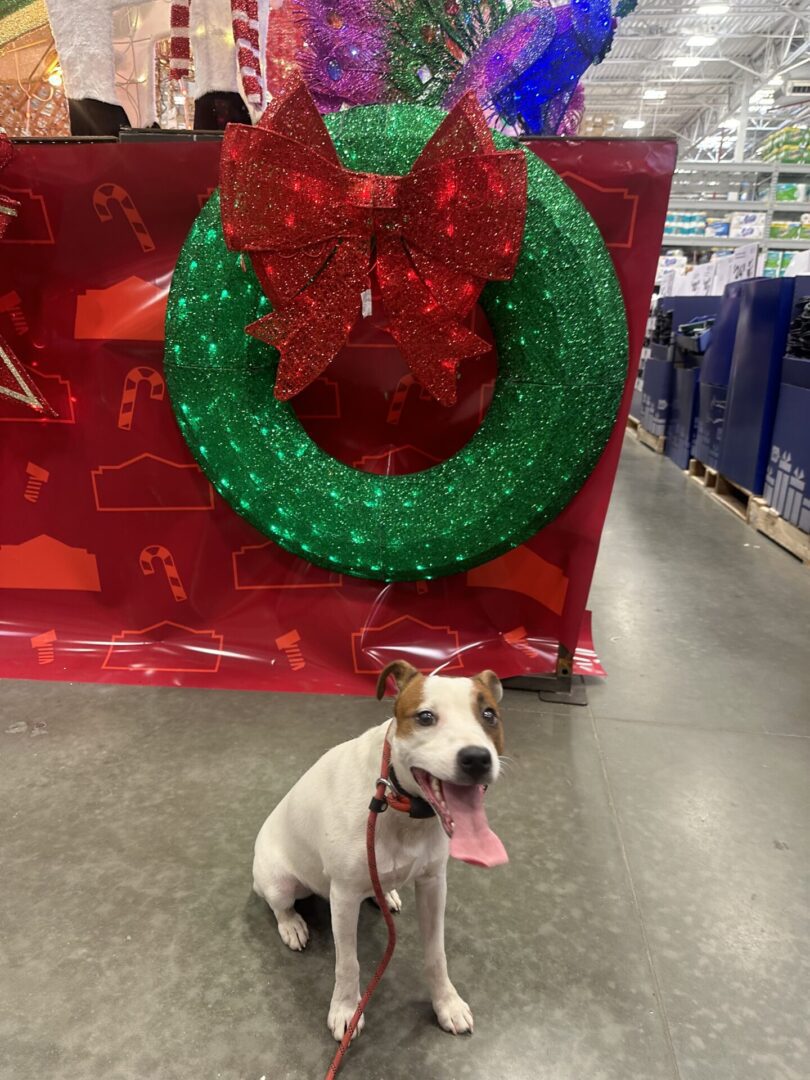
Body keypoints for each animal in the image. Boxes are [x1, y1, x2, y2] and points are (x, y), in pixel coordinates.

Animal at [252, 659, 508, 1041]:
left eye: (489, 714)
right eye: (425, 716)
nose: (477, 758)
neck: (398, 801)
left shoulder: (434, 884)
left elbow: (437, 954)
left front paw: (446, 1004)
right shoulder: (343, 897)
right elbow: (348, 963)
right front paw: (346, 1010)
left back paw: (385, 895)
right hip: (279, 882)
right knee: (279, 905)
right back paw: (292, 925)